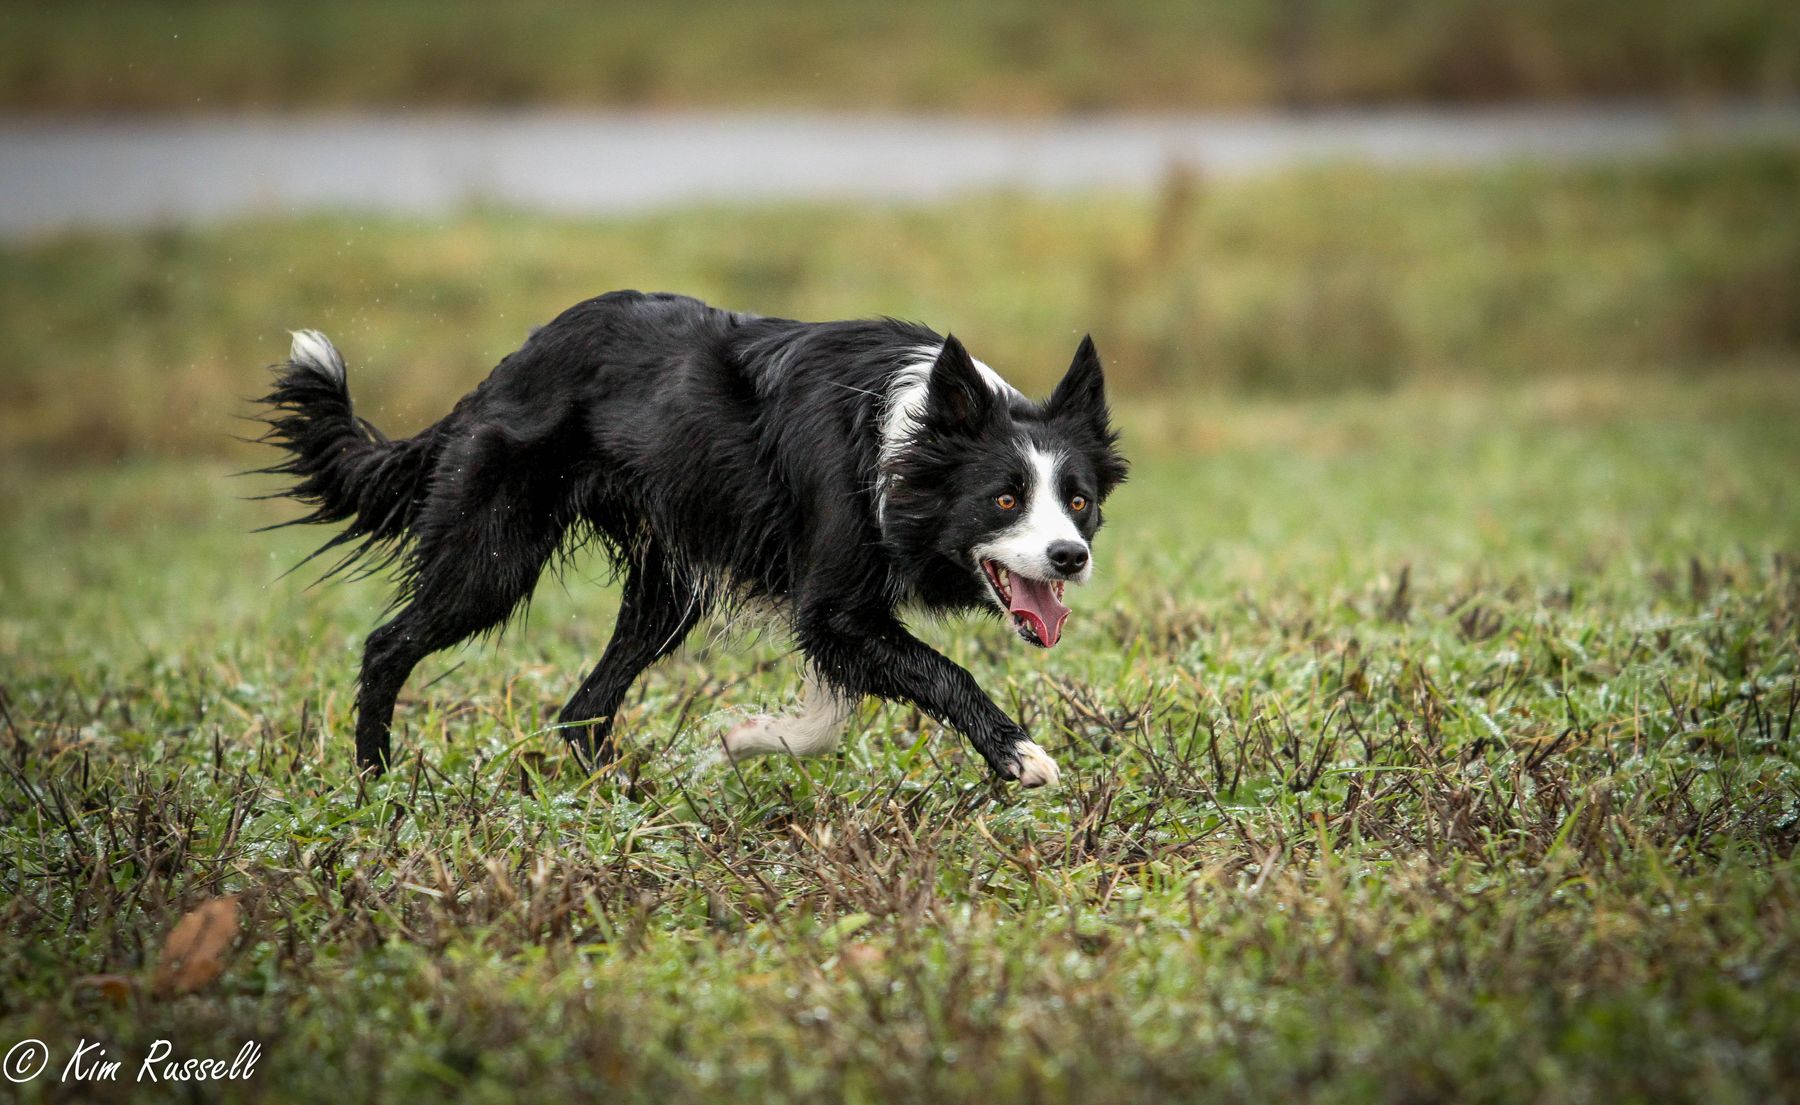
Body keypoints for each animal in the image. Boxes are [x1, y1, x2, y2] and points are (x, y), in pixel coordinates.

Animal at [259, 291, 1116, 788]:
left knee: (582, 707)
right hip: (492, 556)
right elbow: (939, 671)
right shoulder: (836, 604)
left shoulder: (835, 613)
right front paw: (1021, 754)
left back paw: (618, 793)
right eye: (1004, 499)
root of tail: (505, 369)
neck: (908, 437)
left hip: (667, 592)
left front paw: (743, 739)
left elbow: (829, 713)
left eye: (1077, 501)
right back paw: (376, 778)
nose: (1071, 557)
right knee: (389, 644)